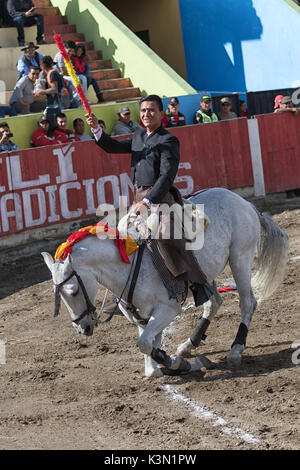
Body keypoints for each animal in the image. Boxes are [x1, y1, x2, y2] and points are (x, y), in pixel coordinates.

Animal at [41, 187, 288, 378]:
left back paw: (235, 350)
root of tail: (243, 202)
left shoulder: (168, 308)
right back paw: (188, 345)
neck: (129, 265)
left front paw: (180, 364)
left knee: (247, 303)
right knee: (213, 303)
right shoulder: (141, 317)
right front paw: (165, 366)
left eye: (73, 290)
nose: (82, 328)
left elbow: (145, 343)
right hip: (207, 271)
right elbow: (150, 348)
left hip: (240, 259)